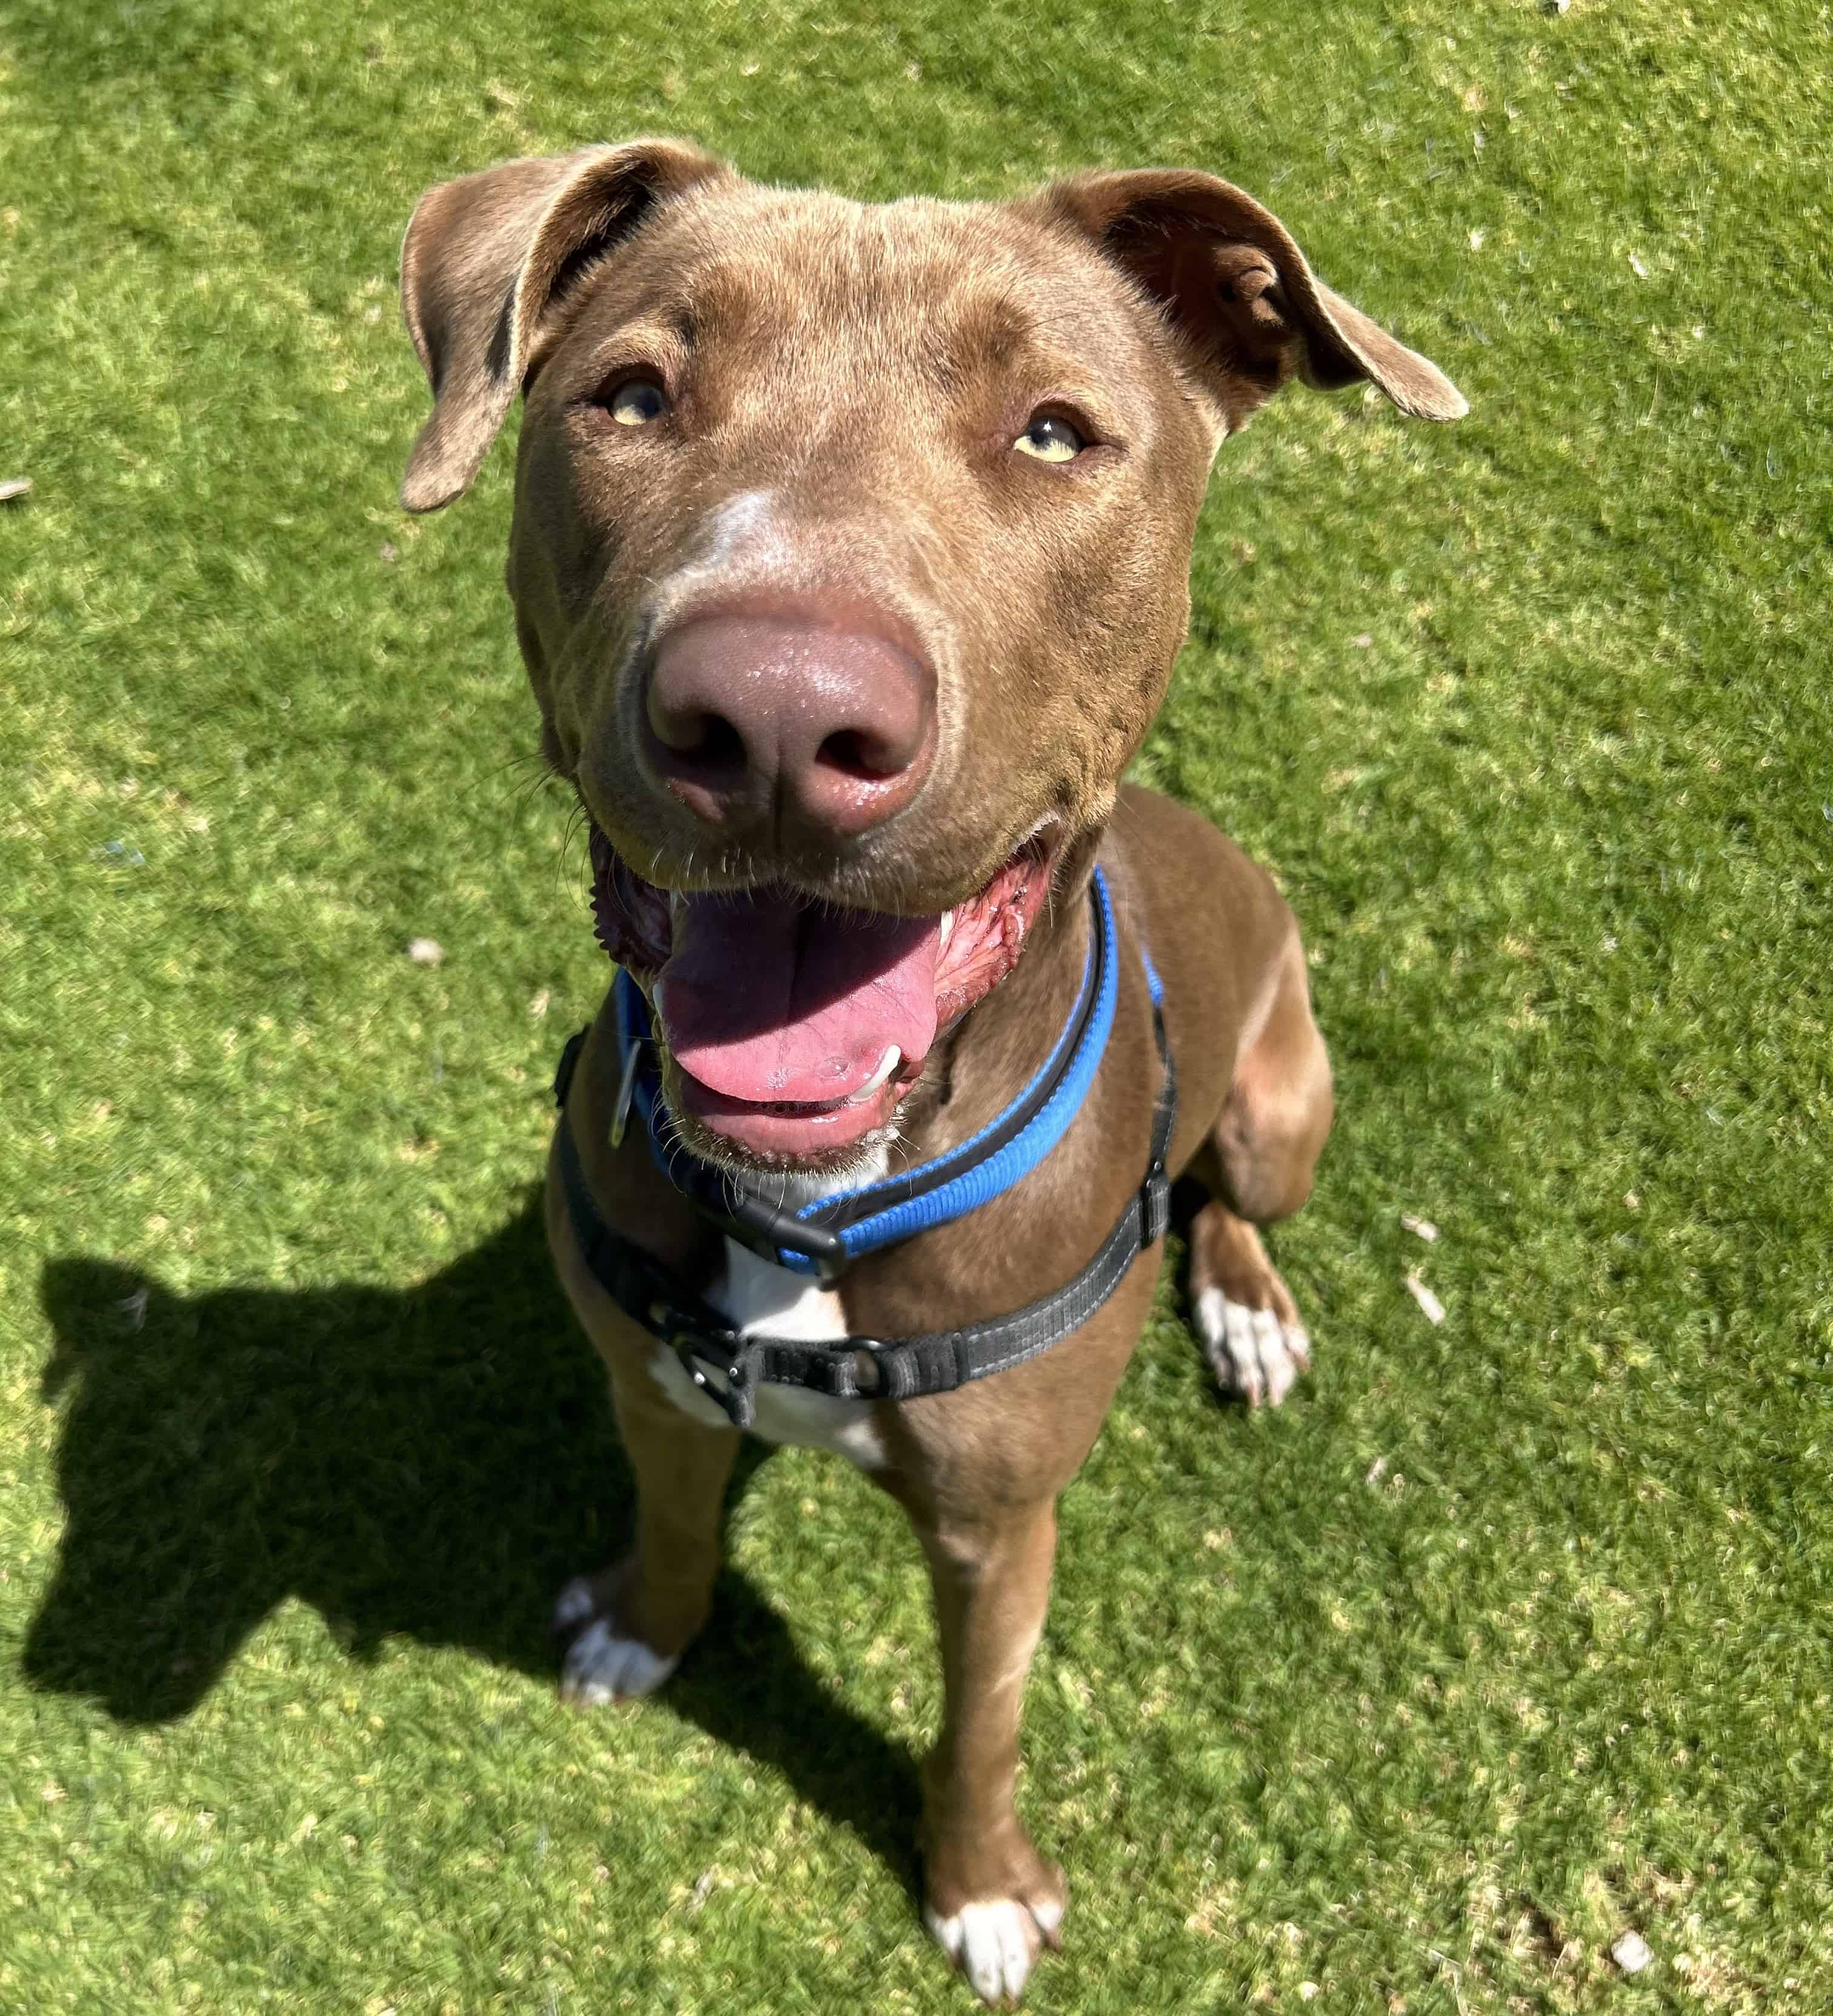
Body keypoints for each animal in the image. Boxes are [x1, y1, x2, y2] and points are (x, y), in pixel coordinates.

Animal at [398, 141, 1463, 2004]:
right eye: (632, 394)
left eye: (1053, 432)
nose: (773, 715)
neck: (816, 1207)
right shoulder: (655, 1390)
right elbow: (676, 1530)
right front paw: (644, 1629)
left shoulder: (999, 1529)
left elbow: (981, 1724)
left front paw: (980, 1884)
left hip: (1280, 1107)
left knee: (1235, 1199)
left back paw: (1247, 1305)